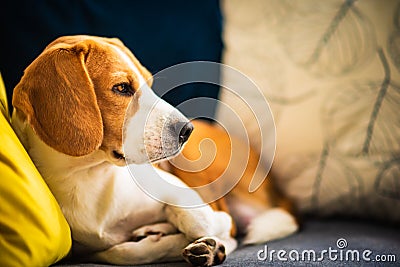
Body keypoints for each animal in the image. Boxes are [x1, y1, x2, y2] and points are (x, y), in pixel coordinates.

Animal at [11, 35, 238, 266]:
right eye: (121, 88)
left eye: (149, 84)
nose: (187, 130)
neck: (85, 177)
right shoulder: (87, 251)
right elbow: (122, 252)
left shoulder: (181, 192)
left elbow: (203, 222)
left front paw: (210, 244)